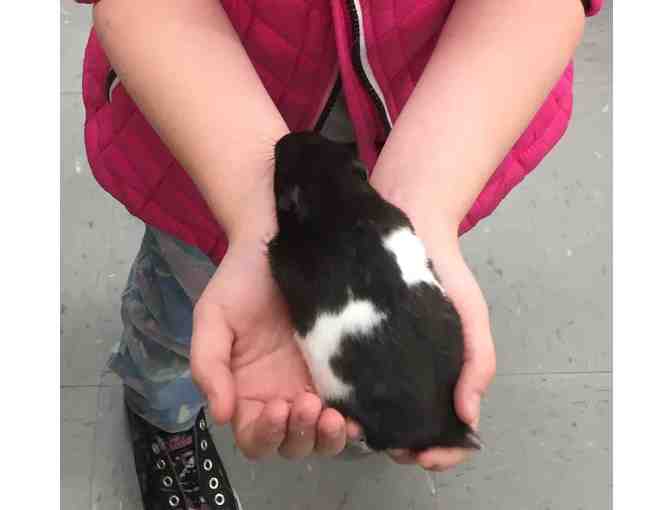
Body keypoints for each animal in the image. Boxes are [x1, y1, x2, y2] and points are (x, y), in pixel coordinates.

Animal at [267, 132, 482, 452]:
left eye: (281, 165)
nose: (282, 139)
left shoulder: (280, 256)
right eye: (321, 140)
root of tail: (445, 427)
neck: (336, 196)